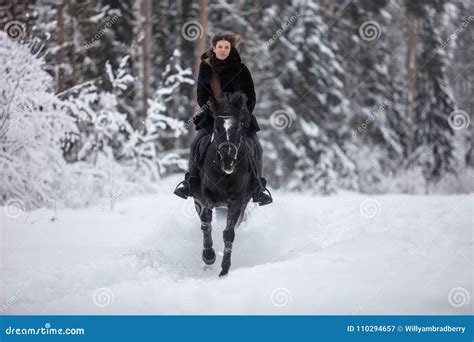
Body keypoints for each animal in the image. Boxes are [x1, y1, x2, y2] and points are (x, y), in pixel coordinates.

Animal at [193, 91, 260, 278]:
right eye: (216, 128)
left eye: (238, 127)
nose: (228, 160)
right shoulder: (205, 197)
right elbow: (206, 225)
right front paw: (209, 256)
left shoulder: (237, 201)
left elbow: (229, 233)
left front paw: (224, 268)